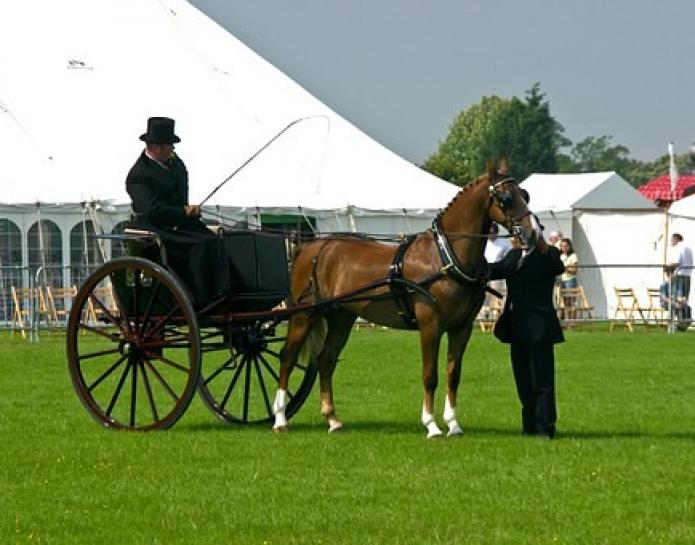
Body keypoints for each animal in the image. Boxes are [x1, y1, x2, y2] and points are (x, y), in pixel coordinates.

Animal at [272, 159, 538, 438]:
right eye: (506, 198)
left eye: (525, 195)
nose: (532, 235)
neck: (445, 257)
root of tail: (310, 247)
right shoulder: (430, 325)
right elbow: (430, 375)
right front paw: (431, 425)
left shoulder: (462, 327)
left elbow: (453, 374)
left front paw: (453, 424)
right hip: (305, 314)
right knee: (287, 357)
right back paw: (280, 418)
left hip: (341, 318)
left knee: (326, 360)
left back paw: (332, 419)